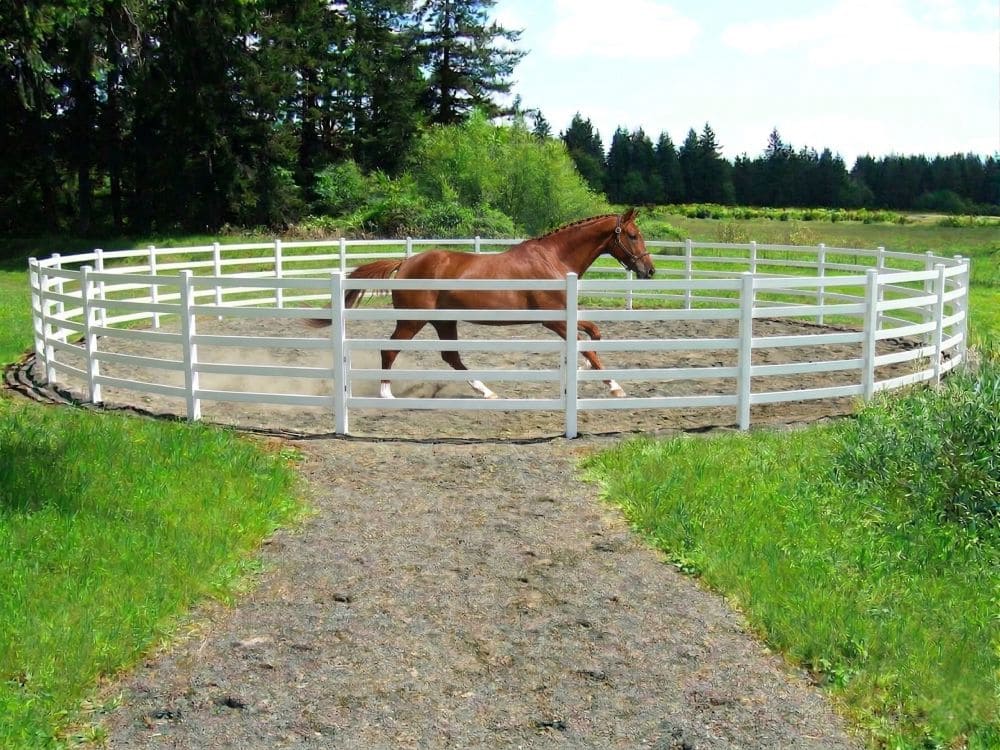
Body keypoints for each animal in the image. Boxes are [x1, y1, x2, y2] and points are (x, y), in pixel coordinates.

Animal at [309, 207, 655, 399]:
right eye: (633, 235)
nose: (649, 270)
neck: (554, 260)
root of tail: (406, 262)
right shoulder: (555, 319)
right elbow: (590, 343)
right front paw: (615, 387)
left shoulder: (563, 318)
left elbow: (592, 336)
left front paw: (585, 368)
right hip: (412, 320)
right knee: (390, 350)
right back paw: (387, 394)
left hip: (444, 321)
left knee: (451, 357)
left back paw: (486, 391)